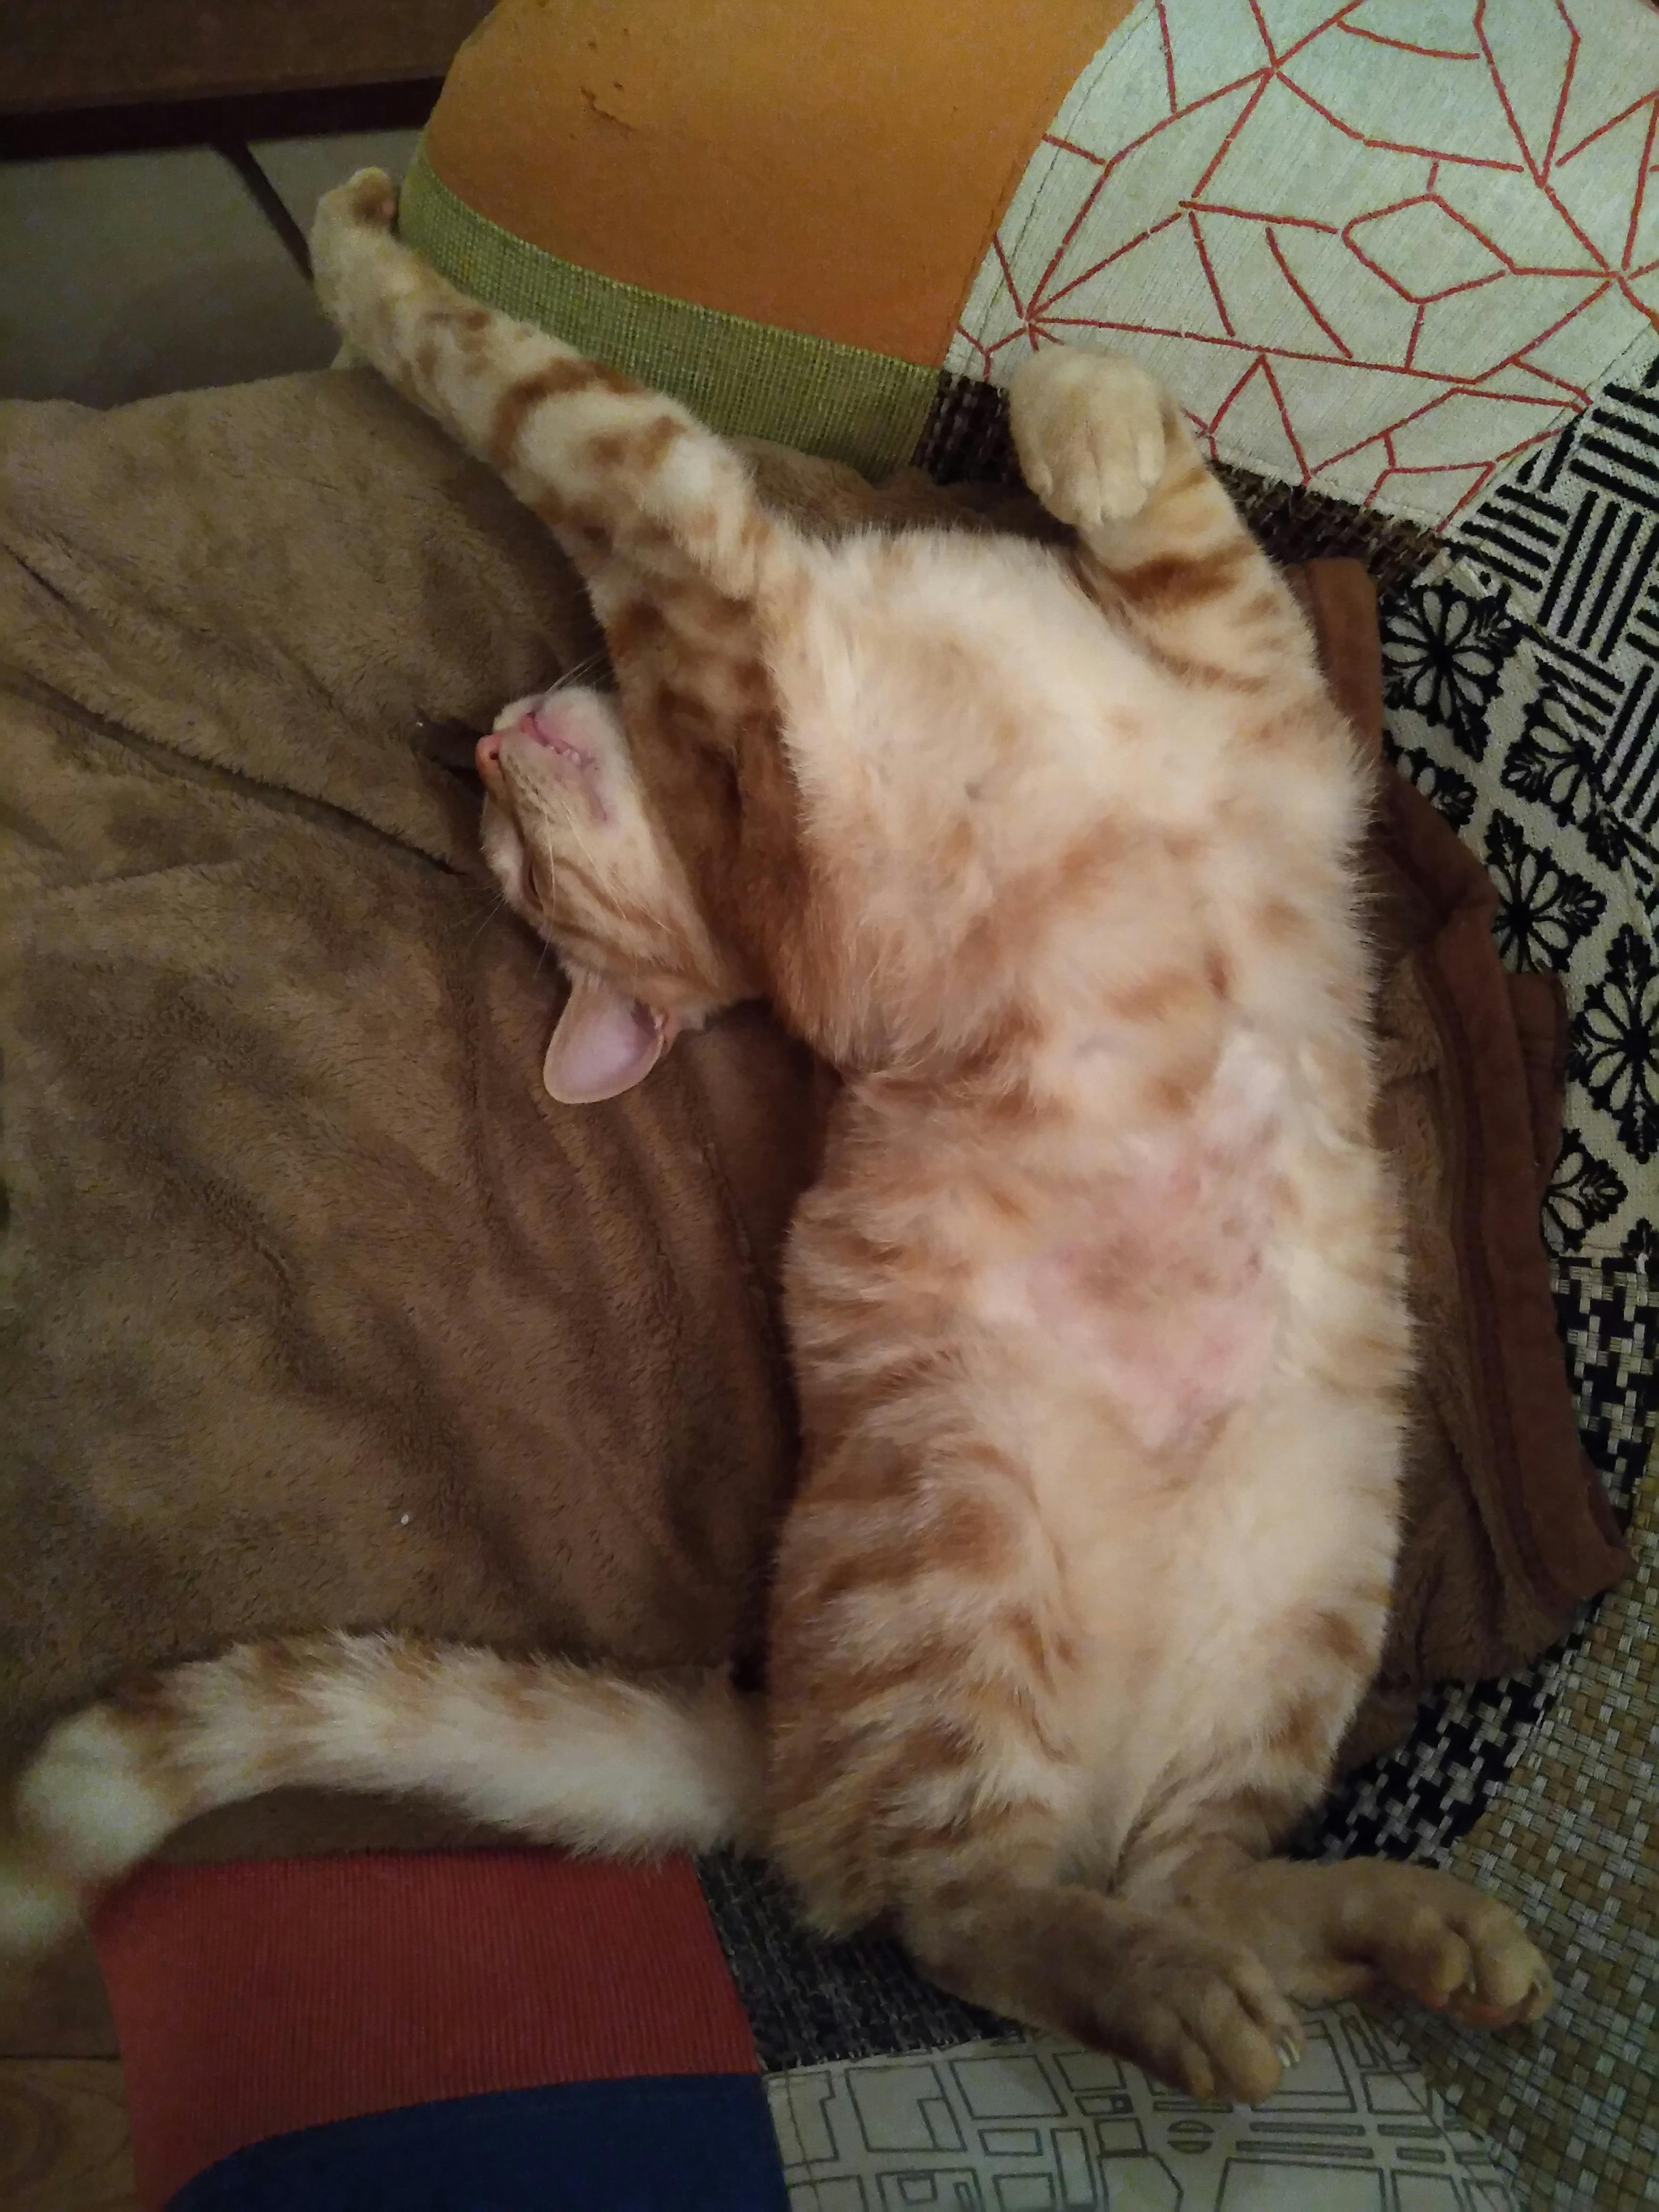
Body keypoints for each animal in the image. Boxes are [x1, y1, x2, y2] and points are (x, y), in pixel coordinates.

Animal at [0, 169, 1551, 2102]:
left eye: (515, 860)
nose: (489, 745)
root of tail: (786, 1739)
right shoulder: (703, 589)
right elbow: (525, 387)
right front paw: (364, 243)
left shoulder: (1258, 706)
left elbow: (1182, 533)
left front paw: (1083, 410)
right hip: (967, 1571)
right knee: (963, 1913)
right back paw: (1176, 1995)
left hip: (1300, 1603)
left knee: (1198, 1885)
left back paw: (1397, 1931)